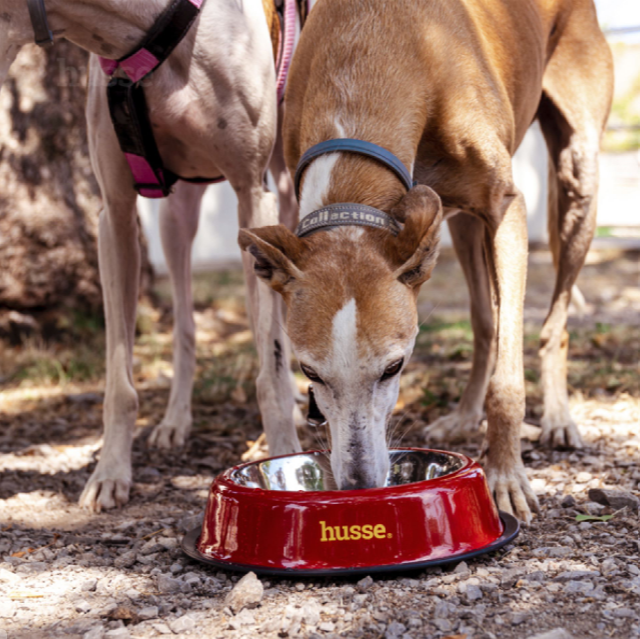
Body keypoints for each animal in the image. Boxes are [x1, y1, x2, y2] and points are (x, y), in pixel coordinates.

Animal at [241, 0, 616, 524]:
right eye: (310, 373)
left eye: (394, 367)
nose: (359, 485)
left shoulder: (508, 209)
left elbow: (508, 380)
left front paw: (506, 478)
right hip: (458, 225)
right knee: (485, 320)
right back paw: (464, 414)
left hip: (576, 176)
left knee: (552, 320)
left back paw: (559, 418)